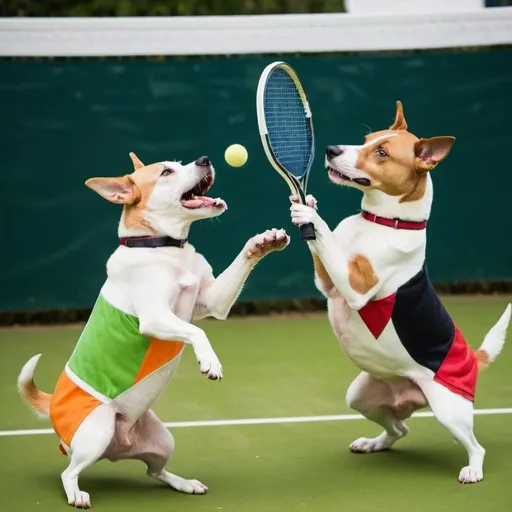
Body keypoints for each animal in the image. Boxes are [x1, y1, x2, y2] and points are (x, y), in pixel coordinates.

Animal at [18, 153, 290, 508]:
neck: (163, 247)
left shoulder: (212, 302)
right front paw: (210, 361)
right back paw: (76, 493)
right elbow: (197, 333)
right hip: (98, 431)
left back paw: (183, 483)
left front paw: (263, 243)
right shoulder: (155, 317)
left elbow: (238, 267)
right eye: (166, 172)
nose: (205, 159)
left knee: (154, 472)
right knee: (69, 472)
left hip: (162, 441)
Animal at [290, 103, 510, 484]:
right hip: (361, 397)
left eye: (381, 153)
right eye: (366, 139)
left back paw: (473, 469)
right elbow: (324, 248)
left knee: (475, 446)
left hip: (449, 412)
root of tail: (473, 359)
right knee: (399, 429)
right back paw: (373, 443)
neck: (383, 223)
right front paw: (306, 203)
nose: (331, 150)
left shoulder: (355, 287)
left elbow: (324, 234)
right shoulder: (330, 284)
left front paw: (309, 212)